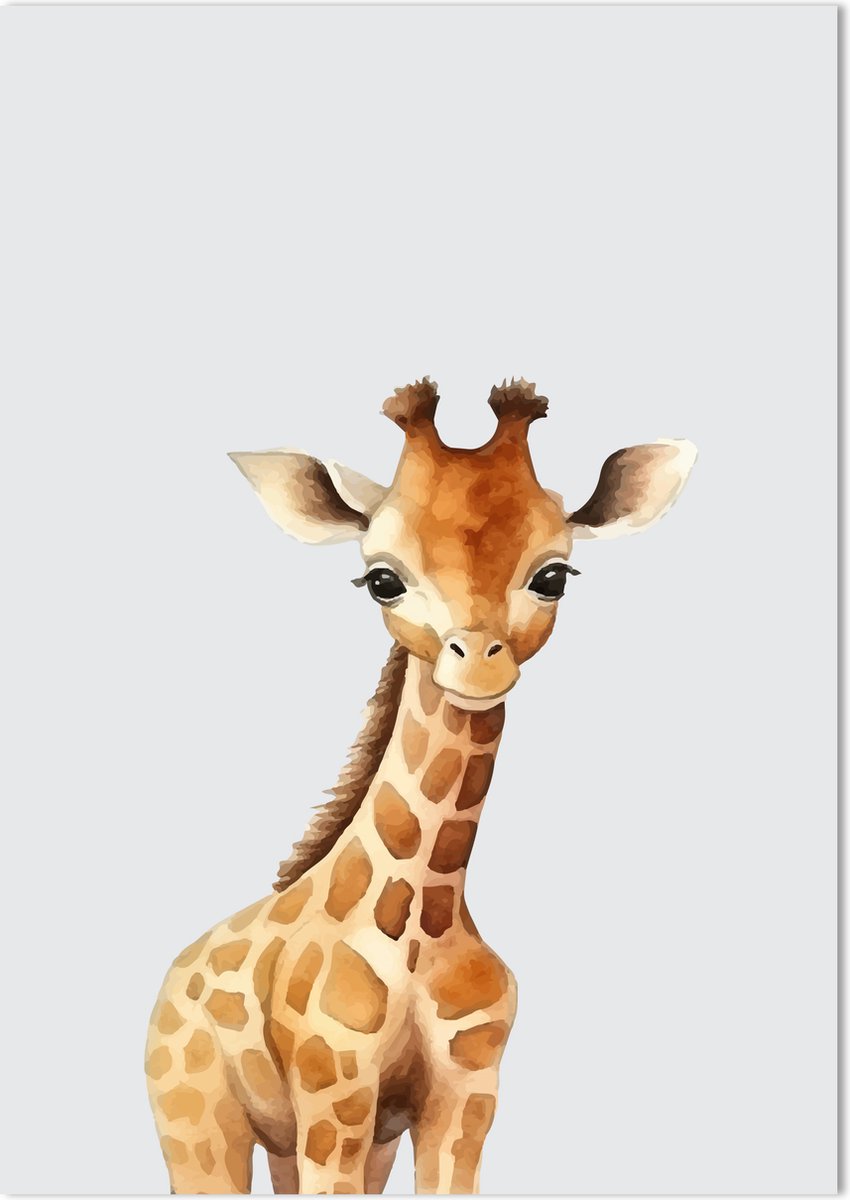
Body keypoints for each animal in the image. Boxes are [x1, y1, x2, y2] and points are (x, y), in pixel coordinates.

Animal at [145, 378, 696, 1195]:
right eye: (381, 579)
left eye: (553, 575)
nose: (479, 663)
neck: (423, 924)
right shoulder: (334, 1092)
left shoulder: (466, 1096)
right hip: (198, 1123)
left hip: (307, 1141)